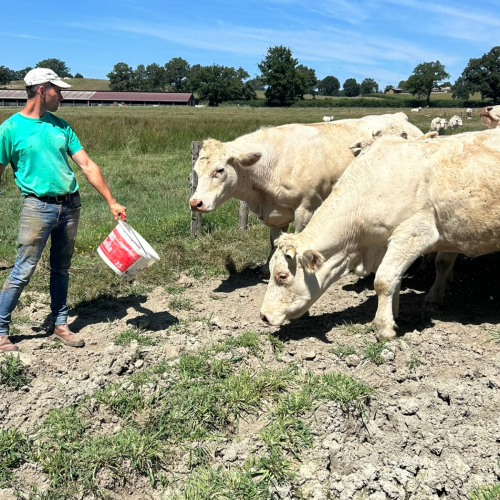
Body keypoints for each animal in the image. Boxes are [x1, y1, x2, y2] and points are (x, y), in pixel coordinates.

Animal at [189, 114, 424, 247]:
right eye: (196, 171)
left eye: (219, 170)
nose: (195, 203)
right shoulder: (276, 216)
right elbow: (276, 243)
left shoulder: (306, 209)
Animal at [260, 127, 500, 342]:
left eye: (282, 275)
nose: (263, 316)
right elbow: (395, 280)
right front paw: (391, 316)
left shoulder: (416, 234)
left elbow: (383, 281)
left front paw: (384, 328)